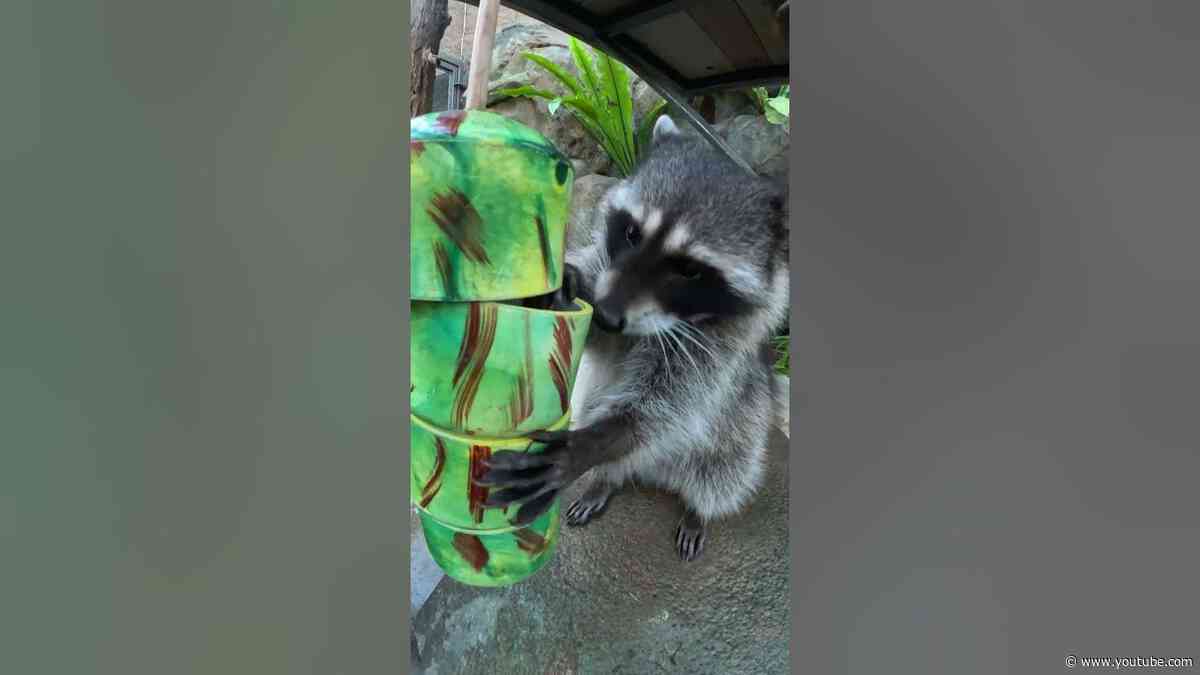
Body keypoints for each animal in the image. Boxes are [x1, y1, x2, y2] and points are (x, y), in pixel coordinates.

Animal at [477, 115, 787, 557]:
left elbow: (663, 410)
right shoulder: (606, 273)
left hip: (739, 434)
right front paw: (566, 289)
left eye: (689, 270)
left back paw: (698, 509)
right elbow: (602, 342)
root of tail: (656, 472)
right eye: (631, 234)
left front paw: (589, 443)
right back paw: (607, 479)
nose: (607, 314)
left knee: (723, 472)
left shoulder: (720, 350)